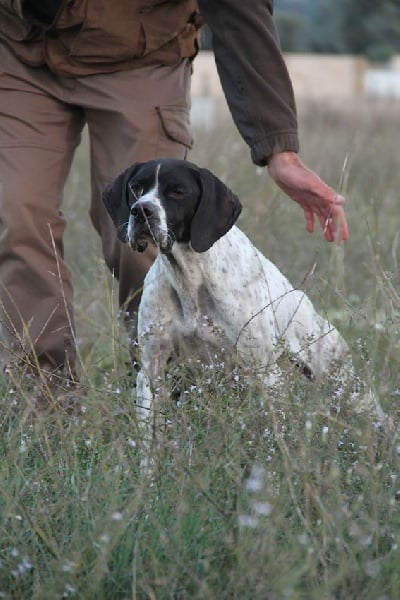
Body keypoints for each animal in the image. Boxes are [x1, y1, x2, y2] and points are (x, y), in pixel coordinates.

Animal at [104, 157, 384, 442]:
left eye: (177, 192)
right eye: (136, 188)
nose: (141, 211)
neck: (191, 277)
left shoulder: (264, 373)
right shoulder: (152, 370)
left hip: (343, 382)